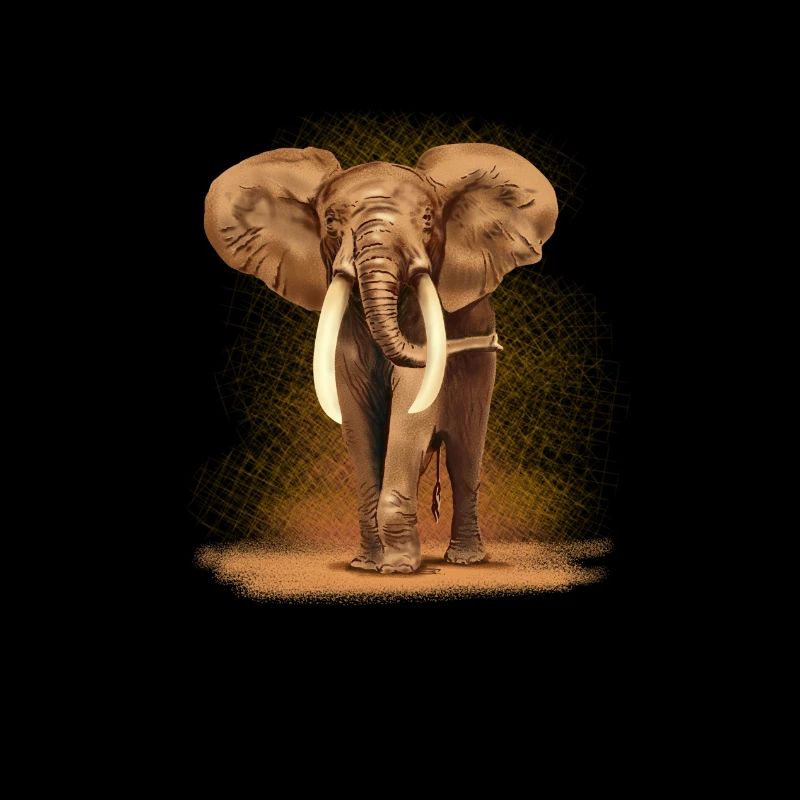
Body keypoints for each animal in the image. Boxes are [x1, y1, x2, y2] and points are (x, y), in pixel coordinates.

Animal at [204, 143, 558, 573]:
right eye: (331, 221)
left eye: (427, 219)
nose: (491, 342)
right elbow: (357, 420)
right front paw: (367, 565)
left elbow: (410, 415)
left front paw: (400, 568)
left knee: (464, 457)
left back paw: (466, 559)